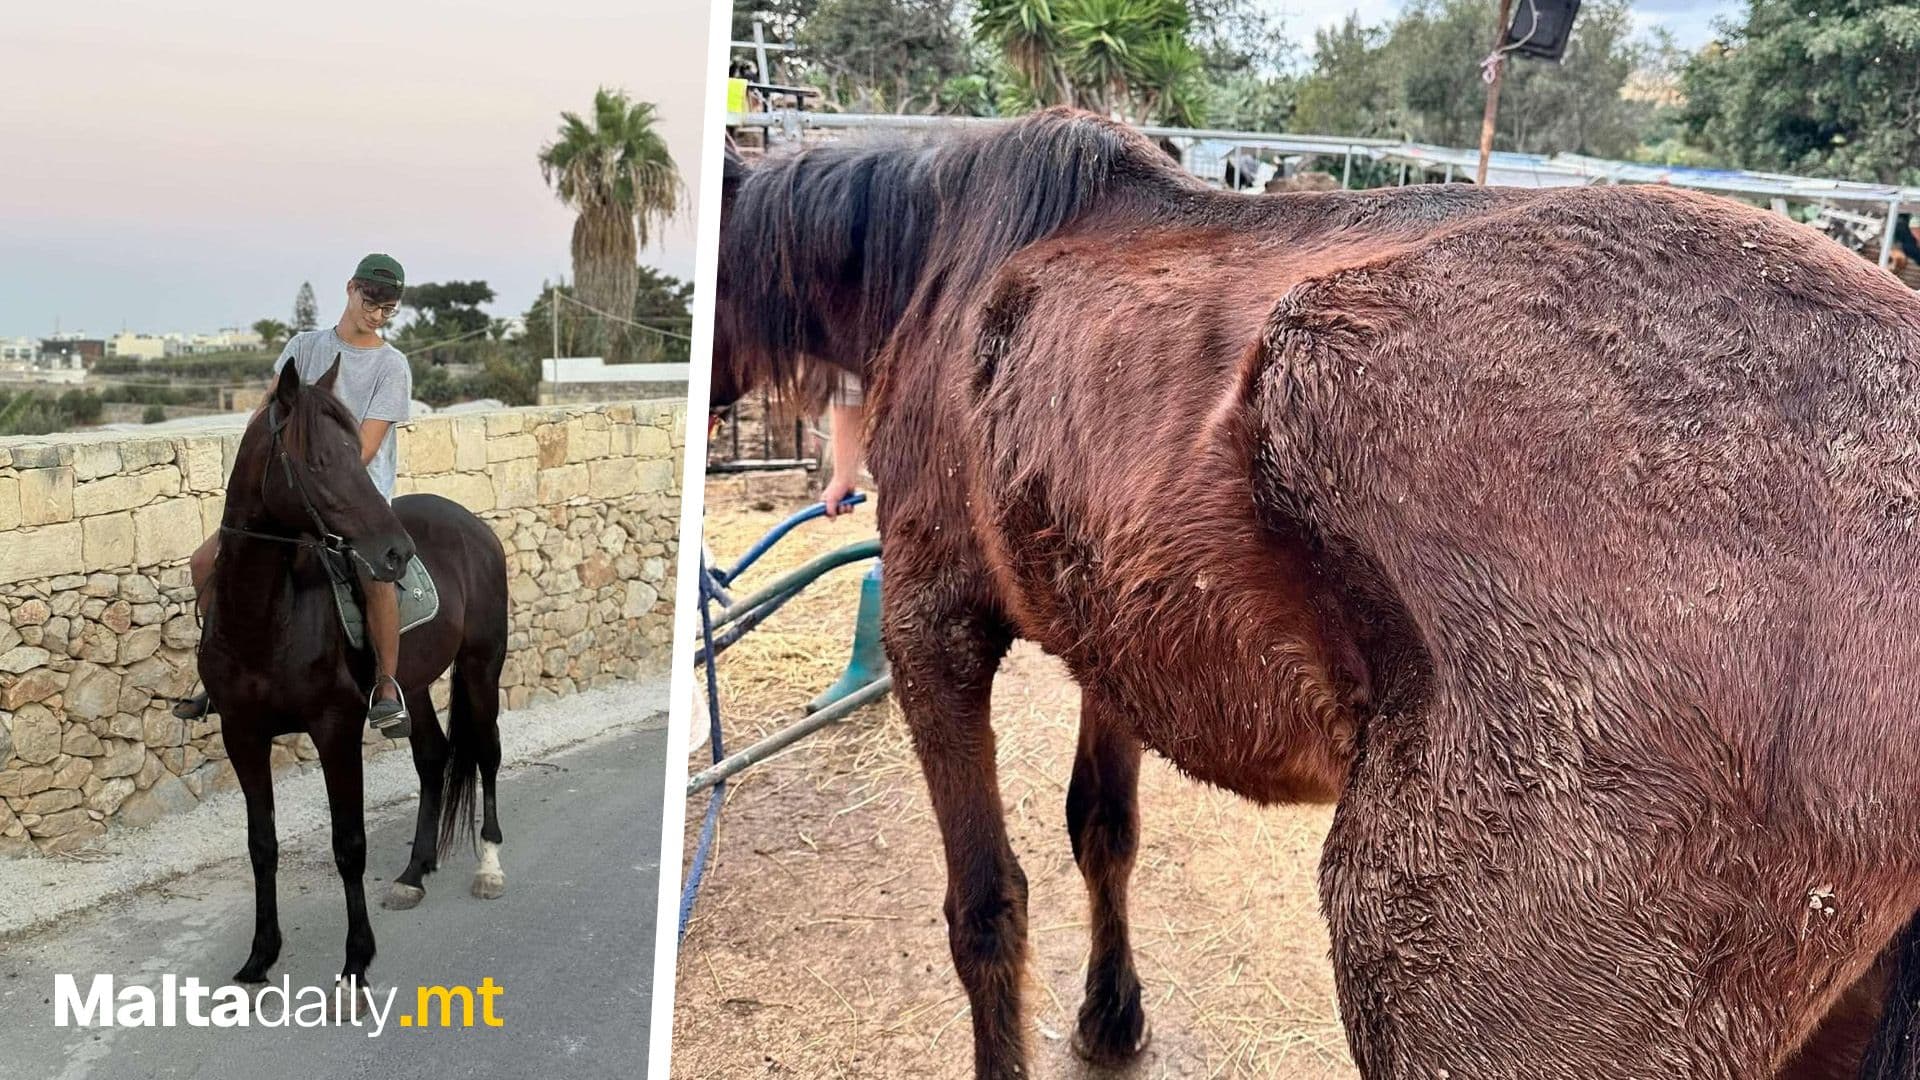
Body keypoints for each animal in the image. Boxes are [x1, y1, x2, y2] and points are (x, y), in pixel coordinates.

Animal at [198, 357, 510, 989]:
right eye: (318, 461)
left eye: (355, 453)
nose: (396, 552)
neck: (265, 618)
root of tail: (474, 526)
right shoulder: (241, 734)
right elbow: (261, 845)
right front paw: (260, 956)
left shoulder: (335, 731)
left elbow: (349, 843)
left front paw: (356, 961)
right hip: (412, 685)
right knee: (433, 758)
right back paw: (413, 873)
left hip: (480, 667)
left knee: (487, 753)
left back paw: (489, 867)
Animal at [711, 110, 1920, 1079]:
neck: (950, 263)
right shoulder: (1113, 630)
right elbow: (1103, 829)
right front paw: (1112, 1019)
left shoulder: (932, 626)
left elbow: (986, 910)